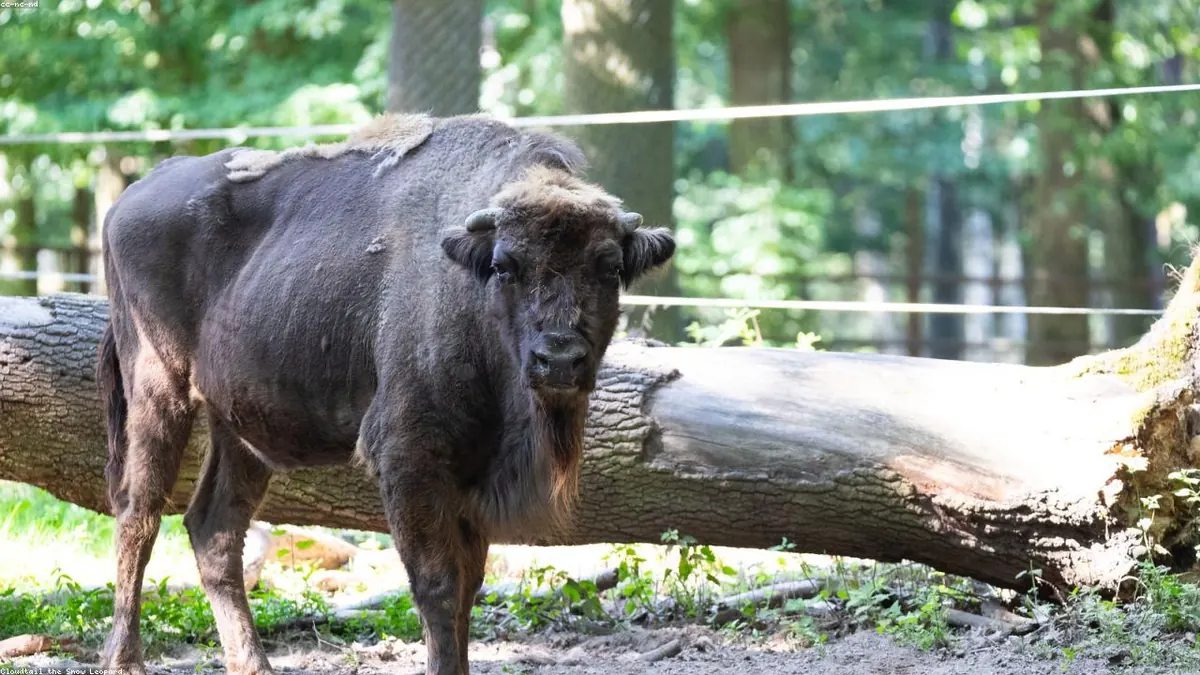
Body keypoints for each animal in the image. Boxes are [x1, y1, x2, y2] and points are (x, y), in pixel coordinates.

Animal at [97, 113, 675, 675]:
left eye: (610, 267)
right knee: (138, 513)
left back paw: (253, 664)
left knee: (214, 530)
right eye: (505, 265)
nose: (557, 359)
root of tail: (130, 197)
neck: (468, 288)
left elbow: (469, 588)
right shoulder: (410, 461)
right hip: (156, 389)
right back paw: (125, 660)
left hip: (240, 428)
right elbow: (438, 586)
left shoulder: (470, 475)